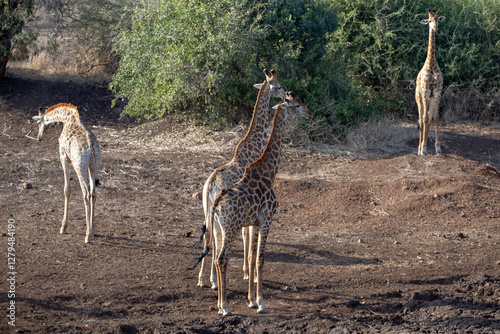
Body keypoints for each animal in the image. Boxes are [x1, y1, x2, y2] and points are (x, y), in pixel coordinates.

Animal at [31, 103, 101, 243]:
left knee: (86, 193)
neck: (67, 118)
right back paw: (93, 231)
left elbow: (67, 189)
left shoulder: (63, 157)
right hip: (94, 167)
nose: (39, 137)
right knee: (93, 194)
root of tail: (91, 148)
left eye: (38, 123)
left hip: (79, 166)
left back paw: (87, 235)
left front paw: (64, 227)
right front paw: (93, 229)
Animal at [193, 92, 310, 316]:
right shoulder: (267, 219)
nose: (310, 114)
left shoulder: (254, 223)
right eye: (297, 105)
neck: (268, 173)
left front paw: (252, 300)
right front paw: (261, 303)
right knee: (222, 258)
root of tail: (216, 205)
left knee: (216, 252)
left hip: (219, 225)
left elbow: (252, 256)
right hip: (230, 227)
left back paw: (219, 303)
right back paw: (225, 306)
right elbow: (260, 259)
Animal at [197, 69, 288, 288]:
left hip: (207, 208)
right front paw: (248, 273)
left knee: (209, 236)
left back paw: (203, 279)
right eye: (278, 86)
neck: (254, 144)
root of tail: (210, 185)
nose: (285, 96)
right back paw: (214, 280)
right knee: (217, 238)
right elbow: (247, 235)